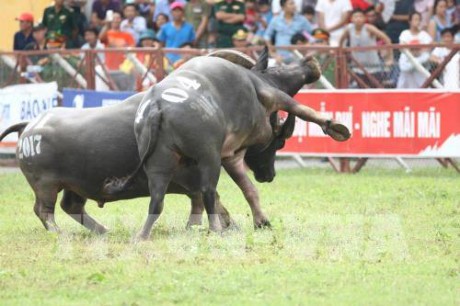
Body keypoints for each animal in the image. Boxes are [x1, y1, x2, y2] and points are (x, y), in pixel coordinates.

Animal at [103, 52, 348, 240]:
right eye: (280, 143)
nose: (268, 175)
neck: (255, 79)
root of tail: (157, 107)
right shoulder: (272, 95)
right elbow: (301, 108)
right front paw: (335, 126)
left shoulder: (232, 156)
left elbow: (249, 190)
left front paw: (262, 221)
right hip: (208, 158)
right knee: (207, 192)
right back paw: (215, 229)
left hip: (160, 163)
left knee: (157, 200)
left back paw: (143, 235)